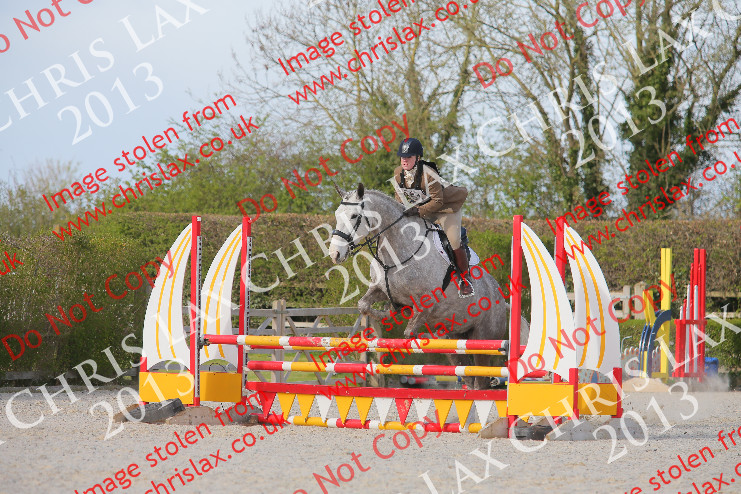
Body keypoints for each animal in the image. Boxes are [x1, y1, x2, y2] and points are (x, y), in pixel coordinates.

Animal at [328, 183, 529, 389]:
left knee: (481, 381)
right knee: (468, 374)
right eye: (337, 214)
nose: (335, 254)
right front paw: (387, 312)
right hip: (454, 340)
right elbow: (363, 305)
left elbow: (409, 332)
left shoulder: (426, 303)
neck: (397, 250)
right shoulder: (380, 290)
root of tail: (502, 301)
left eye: (354, 216)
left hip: (482, 339)